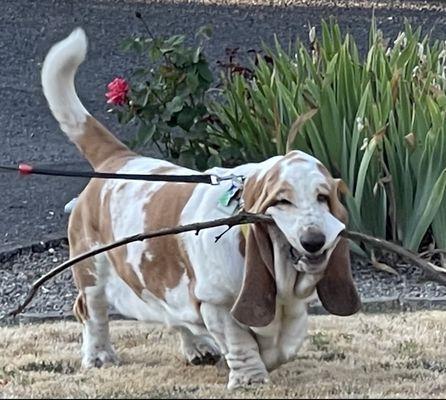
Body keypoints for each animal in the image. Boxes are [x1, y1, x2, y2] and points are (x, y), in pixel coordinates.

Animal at [41, 28, 362, 390]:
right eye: (282, 201)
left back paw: (198, 348)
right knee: (91, 311)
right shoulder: (216, 304)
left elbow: (286, 343)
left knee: (172, 315)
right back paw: (99, 356)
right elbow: (241, 341)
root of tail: (119, 159)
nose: (314, 240)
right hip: (92, 270)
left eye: (323, 197)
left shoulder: (292, 307)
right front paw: (250, 378)